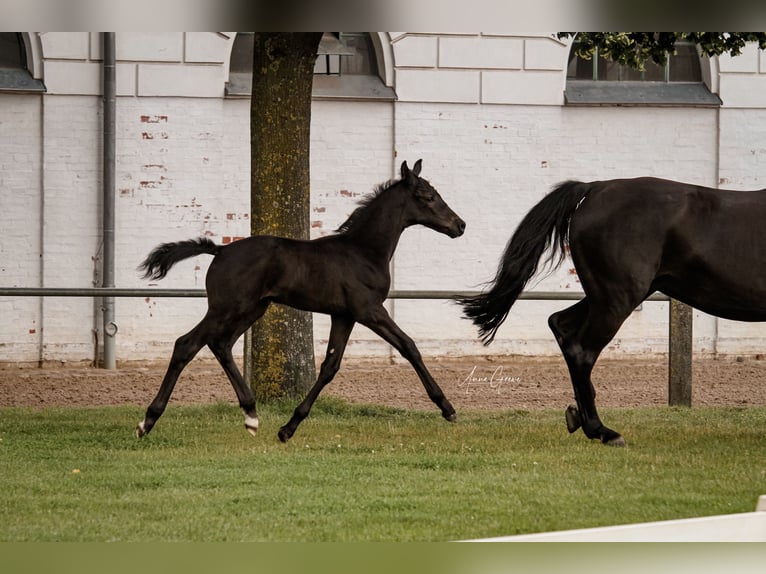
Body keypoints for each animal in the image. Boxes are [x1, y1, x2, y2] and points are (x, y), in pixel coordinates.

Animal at [138, 160, 468, 444]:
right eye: (428, 197)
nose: (460, 225)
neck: (362, 251)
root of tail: (219, 250)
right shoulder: (369, 310)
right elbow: (409, 347)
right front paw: (447, 408)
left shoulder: (344, 315)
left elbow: (330, 366)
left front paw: (288, 428)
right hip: (226, 308)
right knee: (187, 344)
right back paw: (147, 421)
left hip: (253, 309)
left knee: (221, 345)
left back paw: (251, 415)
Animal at [462, 178, 766, 448]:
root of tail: (596, 187)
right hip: (617, 299)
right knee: (581, 349)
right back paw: (602, 431)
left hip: (608, 297)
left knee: (560, 324)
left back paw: (579, 417)